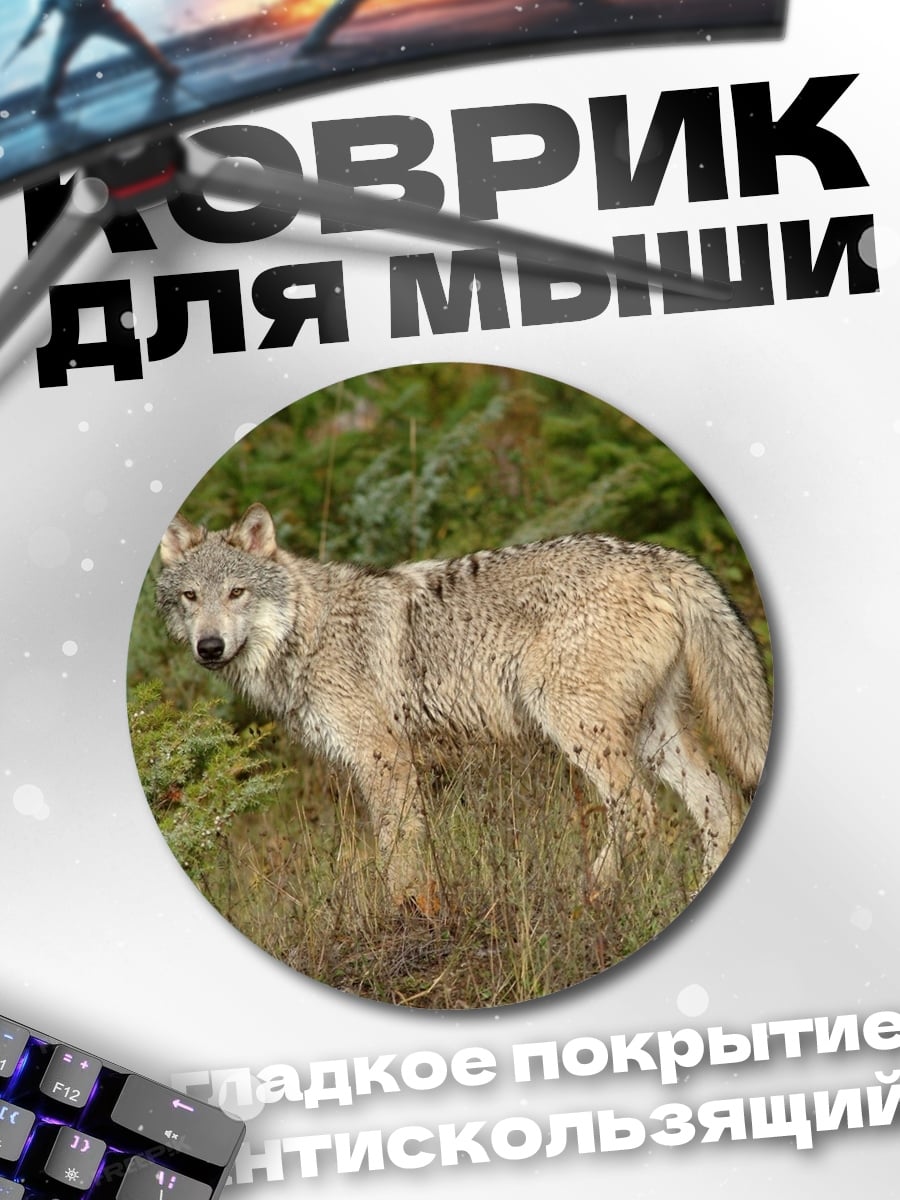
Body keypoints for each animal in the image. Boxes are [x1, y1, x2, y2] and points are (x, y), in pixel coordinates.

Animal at [156, 504, 772, 910]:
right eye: (191, 597)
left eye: (236, 593)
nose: (208, 646)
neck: (308, 630)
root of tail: (664, 558)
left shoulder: (386, 760)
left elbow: (397, 855)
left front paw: (406, 918)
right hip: (652, 738)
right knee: (721, 806)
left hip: (577, 726)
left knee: (639, 810)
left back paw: (593, 893)